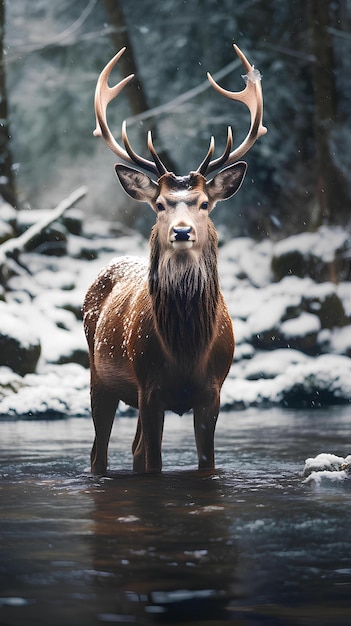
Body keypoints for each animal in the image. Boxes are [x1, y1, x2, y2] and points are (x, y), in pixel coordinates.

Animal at [84, 44, 266, 472]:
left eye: (204, 203)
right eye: (160, 204)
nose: (182, 231)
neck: (185, 350)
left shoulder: (213, 391)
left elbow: (204, 462)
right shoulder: (149, 387)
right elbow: (153, 464)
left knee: (132, 449)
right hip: (99, 375)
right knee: (99, 453)